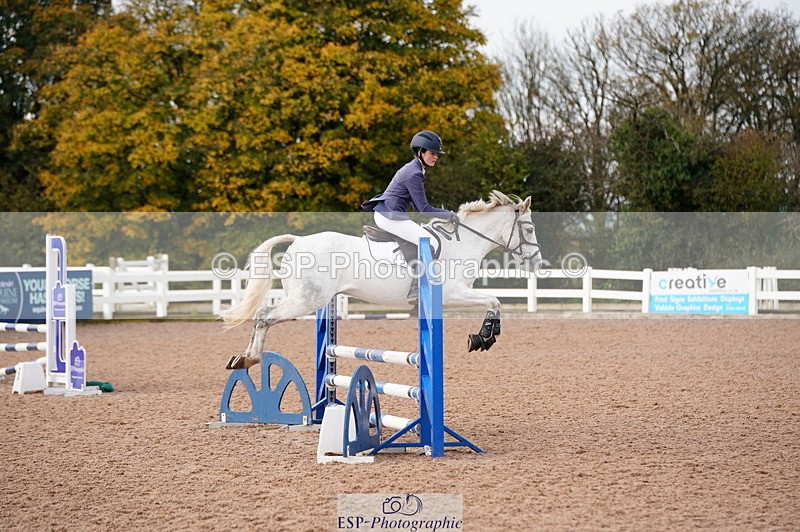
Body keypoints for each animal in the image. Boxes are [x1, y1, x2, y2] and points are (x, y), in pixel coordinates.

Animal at [220, 191, 541, 370]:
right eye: (529, 229)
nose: (536, 261)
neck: (462, 243)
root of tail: (298, 240)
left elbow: (493, 301)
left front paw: (484, 335)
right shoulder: (452, 295)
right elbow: (494, 301)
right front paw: (485, 336)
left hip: (303, 298)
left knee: (262, 315)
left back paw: (243, 358)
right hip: (306, 300)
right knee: (264, 316)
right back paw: (250, 357)